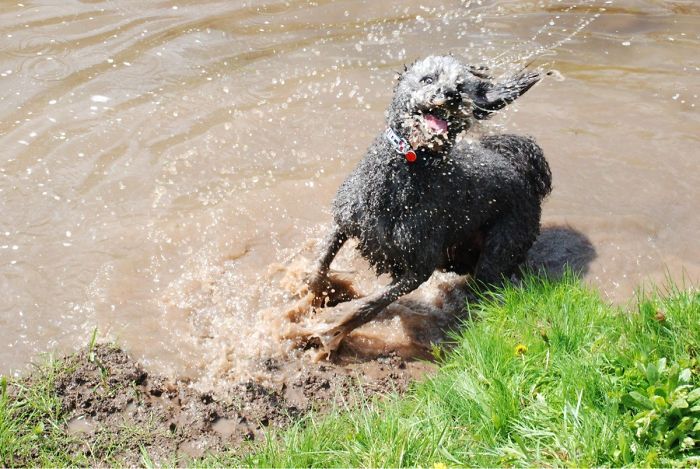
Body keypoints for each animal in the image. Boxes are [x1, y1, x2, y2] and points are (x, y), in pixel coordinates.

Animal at [306, 55, 552, 352]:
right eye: (428, 79)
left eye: (461, 86)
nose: (452, 95)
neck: (409, 164)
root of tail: (524, 172)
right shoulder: (347, 221)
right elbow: (319, 266)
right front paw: (312, 296)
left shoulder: (420, 263)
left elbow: (372, 303)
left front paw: (335, 323)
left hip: (499, 250)